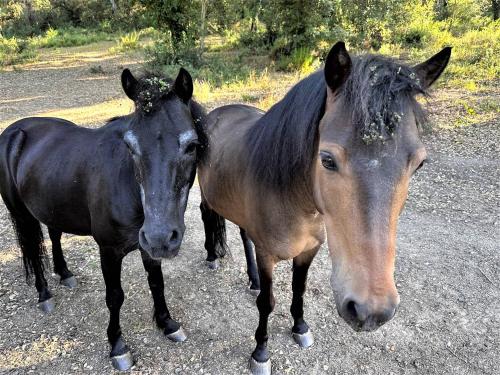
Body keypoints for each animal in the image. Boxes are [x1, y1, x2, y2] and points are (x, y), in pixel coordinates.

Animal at [0, 68, 205, 374]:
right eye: (130, 146)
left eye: (191, 145)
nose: (160, 237)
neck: (129, 187)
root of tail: (13, 130)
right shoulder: (109, 251)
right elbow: (115, 296)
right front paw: (118, 347)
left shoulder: (148, 247)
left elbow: (157, 283)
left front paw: (167, 324)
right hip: (22, 215)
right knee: (33, 251)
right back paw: (45, 294)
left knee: (54, 235)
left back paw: (65, 274)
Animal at [197, 42, 452, 374]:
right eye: (327, 160)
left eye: (419, 163)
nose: (371, 310)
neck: (293, 202)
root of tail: (217, 114)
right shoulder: (267, 255)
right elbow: (267, 302)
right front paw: (260, 352)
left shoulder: (309, 250)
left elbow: (299, 289)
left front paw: (300, 328)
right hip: (205, 193)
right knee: (206, 215)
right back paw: (212, 257)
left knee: (242, 234)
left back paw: (251, 279)